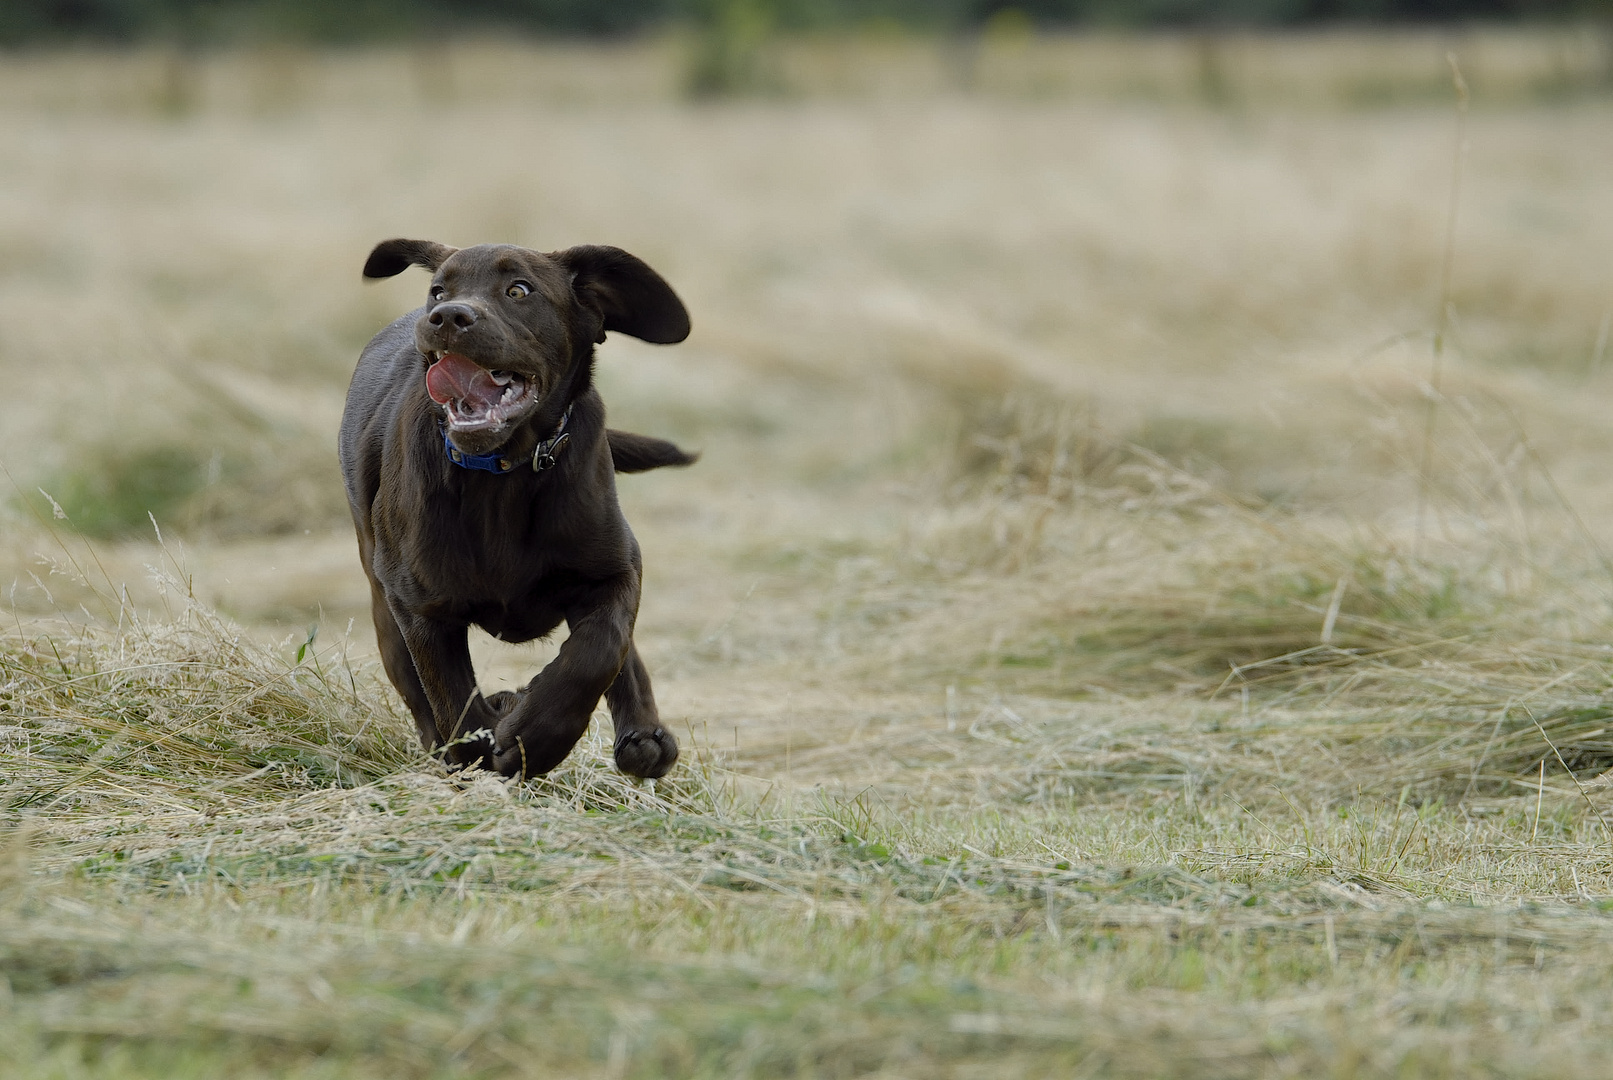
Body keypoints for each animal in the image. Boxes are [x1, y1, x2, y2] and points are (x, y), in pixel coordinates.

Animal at [340, 238, 693, 780]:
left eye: (519, 290)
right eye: (438, 289)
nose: (446, 316)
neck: (504, 474)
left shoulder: (616, 567)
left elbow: (600, 648)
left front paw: (536, 736)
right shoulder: (420, 607)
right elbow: (455, 703)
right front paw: (499, 738)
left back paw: (644, 738)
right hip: (385, 604)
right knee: (422, 700)